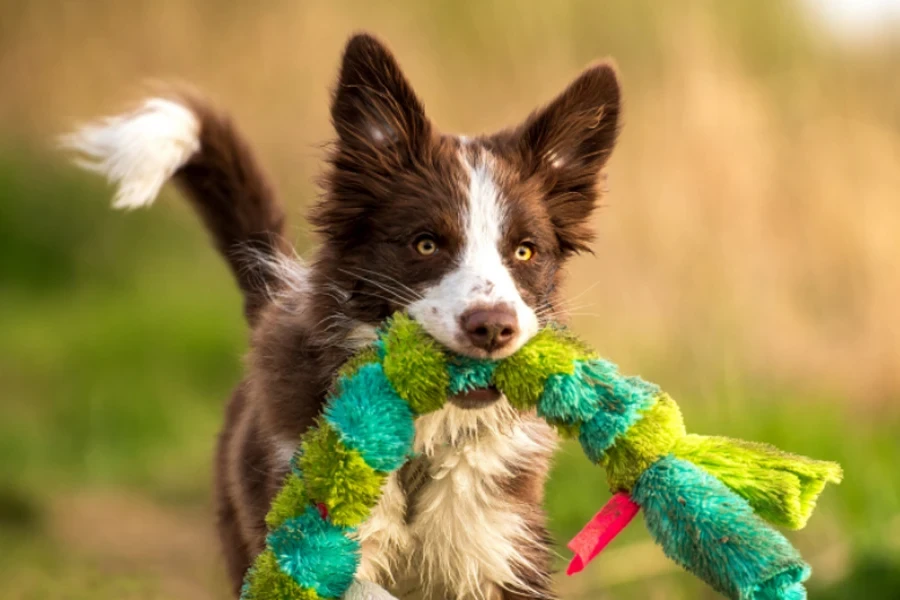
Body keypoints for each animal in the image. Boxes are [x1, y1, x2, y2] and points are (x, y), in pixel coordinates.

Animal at [63, 32, 624, 600]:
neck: (422, 450)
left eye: (525, 251)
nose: (492, 326)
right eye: (425, 244)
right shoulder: (309, 532)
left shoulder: (499, 543)